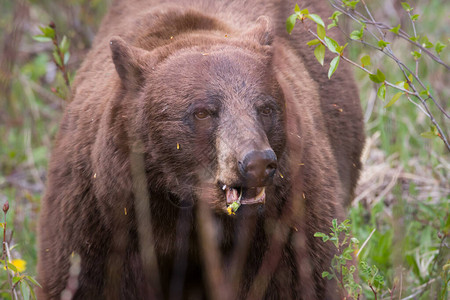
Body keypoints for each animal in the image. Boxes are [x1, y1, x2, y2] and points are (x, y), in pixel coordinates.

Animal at [37, 1, 364, 298]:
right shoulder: (99, 218)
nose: (257, 162)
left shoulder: (289, 214)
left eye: (266, 107)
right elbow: (86, 280)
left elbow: (307, 276)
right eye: (203, 112)